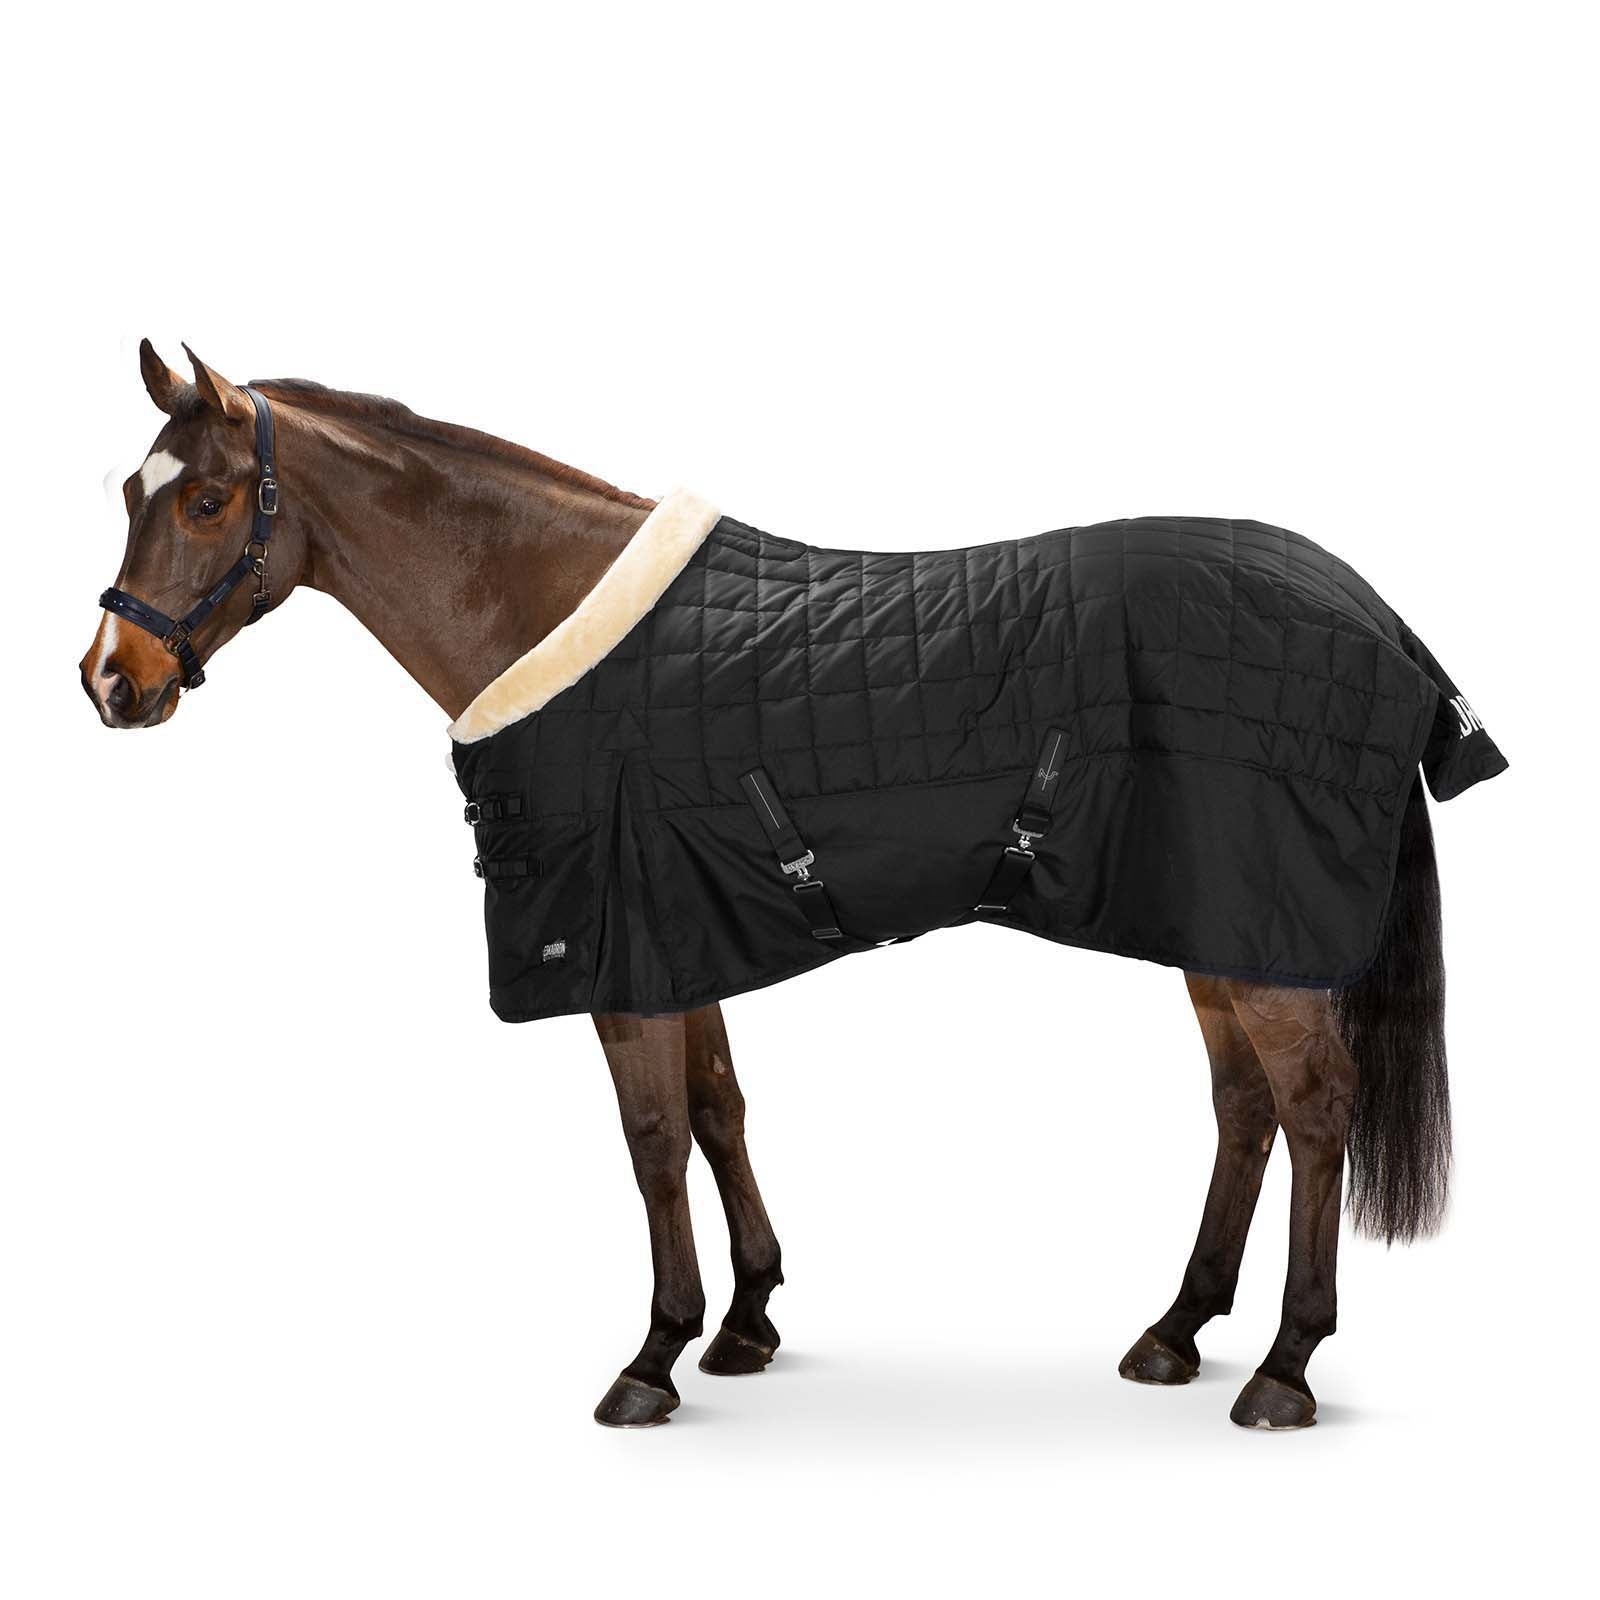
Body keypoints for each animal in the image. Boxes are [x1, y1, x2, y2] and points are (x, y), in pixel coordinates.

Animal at [82, 341, 1500, 1430]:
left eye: (207, 501)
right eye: (129, 488)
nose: (110, 680)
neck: (557, 615)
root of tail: (1379, 620)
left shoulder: (621, 954)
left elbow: (653, 1139)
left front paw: (653, 1356)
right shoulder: (678, 936)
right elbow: (720, 1111)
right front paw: (748, 1322)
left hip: (1265, 941)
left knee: (1313, 1110)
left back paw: (1281, 1368)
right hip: (1217, 926)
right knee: (1244, 1110)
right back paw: (1176, 1330)